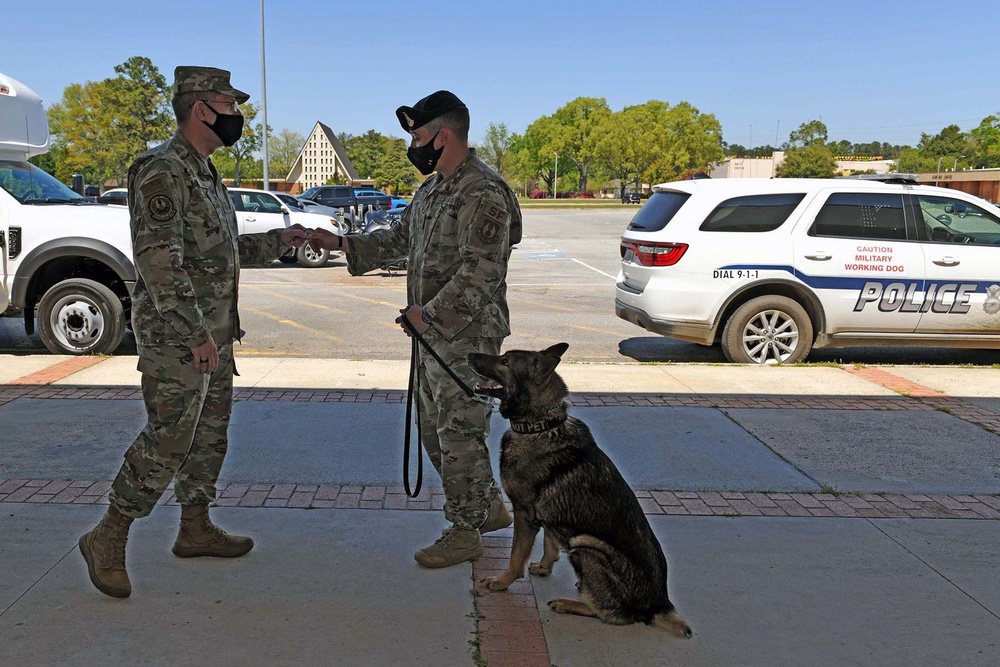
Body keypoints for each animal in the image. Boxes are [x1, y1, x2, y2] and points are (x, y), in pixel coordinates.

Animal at [466, 342, 688, 640]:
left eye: (505, 362)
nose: (469, 355)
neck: (540, 426)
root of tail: (656, 605)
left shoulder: (525, 514)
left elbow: (516, 557)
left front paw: (502, 582)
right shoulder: (547, 517)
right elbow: (550, 543)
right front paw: (544, 566)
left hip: (586, 546)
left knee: (614, 615)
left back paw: (570, 603)